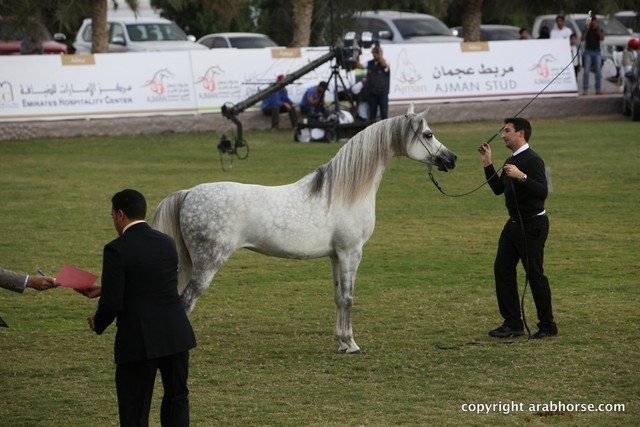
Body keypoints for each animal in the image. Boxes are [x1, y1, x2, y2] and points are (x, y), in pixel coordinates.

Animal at [152, 104, 457, 354]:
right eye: (428, 134)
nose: (451, 159)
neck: (345, 191)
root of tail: (188, 193)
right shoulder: (351, 253)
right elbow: (349, 297)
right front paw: (352, 344)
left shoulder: (336, 255)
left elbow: (338, 297)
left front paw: (341, 342)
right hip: (208, 263)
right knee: (187, 300)